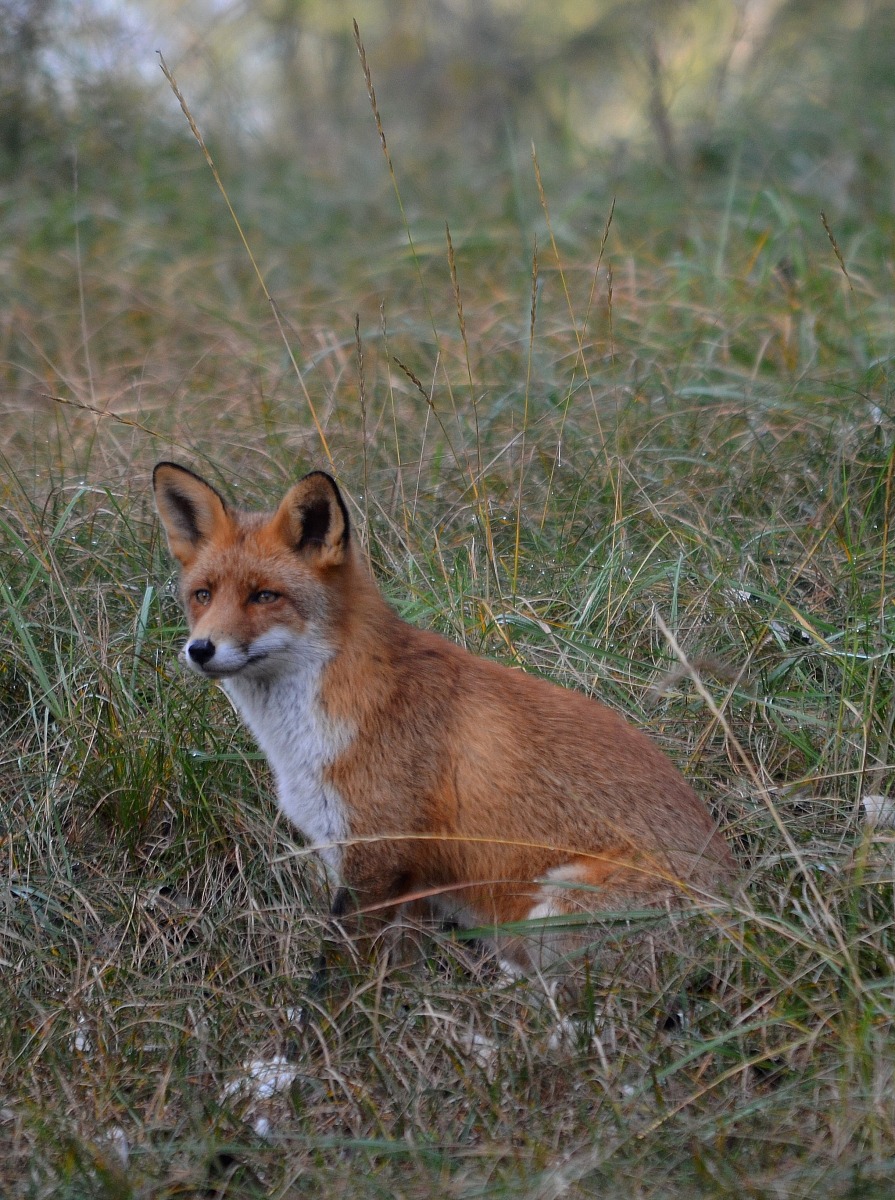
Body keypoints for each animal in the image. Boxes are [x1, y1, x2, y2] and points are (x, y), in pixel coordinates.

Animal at [153, 462, 735, 979]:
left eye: (264, 596)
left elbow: (335, 977)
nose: (200, 649)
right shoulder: (397, 877)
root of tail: (741, 904)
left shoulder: (376, 856)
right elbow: (399, 971)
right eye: (203, 594)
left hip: (556, 908)